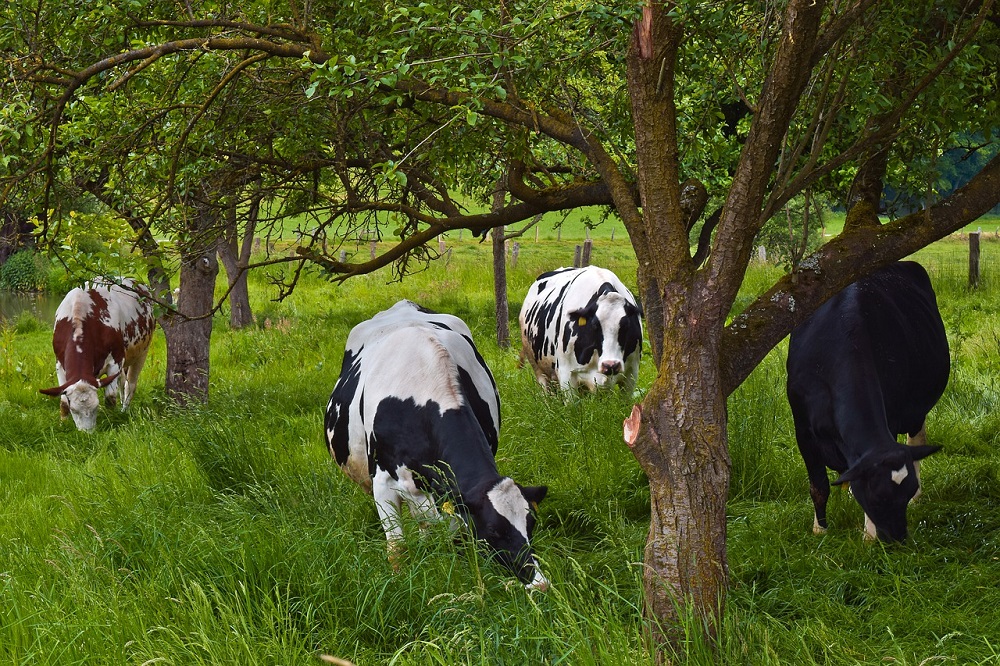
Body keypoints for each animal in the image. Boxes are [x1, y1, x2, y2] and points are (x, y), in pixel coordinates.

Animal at [40, 276, 156, 428]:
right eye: (73, 410)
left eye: (96, 407)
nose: (87, 432)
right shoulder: (59, 364)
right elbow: (63, 401)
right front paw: (63, 423)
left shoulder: (116, 361)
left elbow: (110, 398)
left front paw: (111, 420)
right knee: (122, 382)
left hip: (142, 352)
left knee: (130, 385)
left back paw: (124, 410)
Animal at [326, 298, 548, 588]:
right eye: (493, 530)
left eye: (530, 523)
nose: (539, 582)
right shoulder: (383, 483)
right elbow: (397, 547)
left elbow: (457, 541)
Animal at [520, 264, 644, 392]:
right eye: (594, 325)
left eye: (626, 325)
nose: (610, 365)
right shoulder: (566, 374)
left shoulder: (632, 372)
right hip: (537, 366)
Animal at [784, 260, 948, 540]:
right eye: (878, 496)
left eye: (904, 495)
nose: (897, 539)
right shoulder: (803, 431)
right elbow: (818, 486)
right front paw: (819, 530)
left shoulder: (891, 419)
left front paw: (869, 537)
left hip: (915, 411)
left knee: (916, 440)